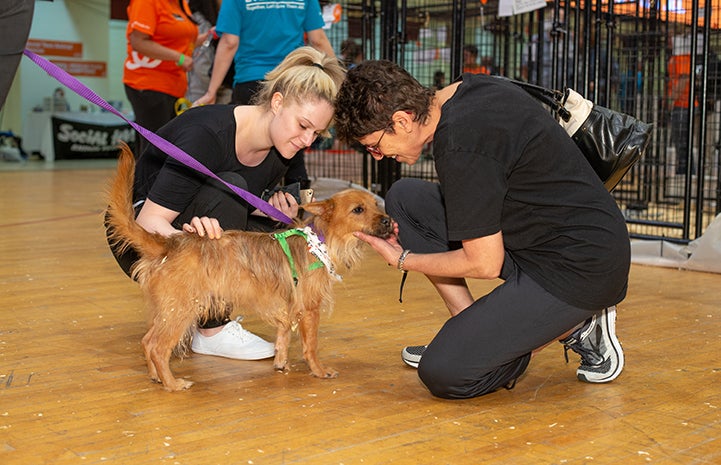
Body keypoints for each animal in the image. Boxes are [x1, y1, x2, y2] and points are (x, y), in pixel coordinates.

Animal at [105, 146, 394, 392]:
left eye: (376, 205)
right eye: (358, 210)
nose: (389, 221)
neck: (319, 239)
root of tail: (171, 243)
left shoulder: (287, 307)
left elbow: (283, 337)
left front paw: (280, 362)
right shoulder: (309, 309)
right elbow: (311, 345)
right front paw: (319, 370)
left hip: (166, 311)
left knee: (147, 341)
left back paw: (155, 376)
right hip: (181, 311)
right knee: (157, 347)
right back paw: (172, 383)